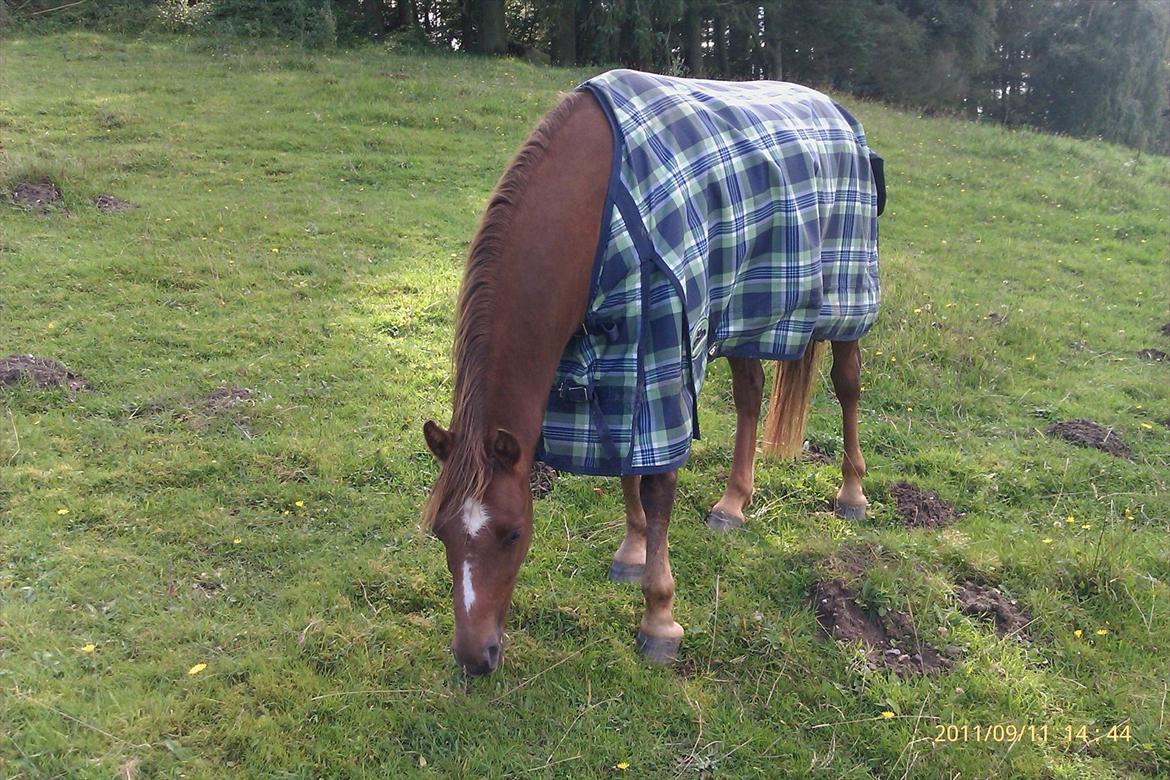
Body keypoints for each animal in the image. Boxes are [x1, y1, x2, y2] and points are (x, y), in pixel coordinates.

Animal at [422, 70, 883, 675]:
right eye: (441, 532)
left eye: (512, 532)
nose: (474, 655)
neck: (593, 207)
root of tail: (840, 113)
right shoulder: (617, 355)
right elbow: (625, 463)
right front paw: (633, 552)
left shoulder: (662, 345)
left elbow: (658, 481)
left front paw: (659, 616)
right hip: (738, 311)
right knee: (750, 394)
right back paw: (733, 504)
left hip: (846, 303)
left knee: (848, 387)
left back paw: (852, 492)